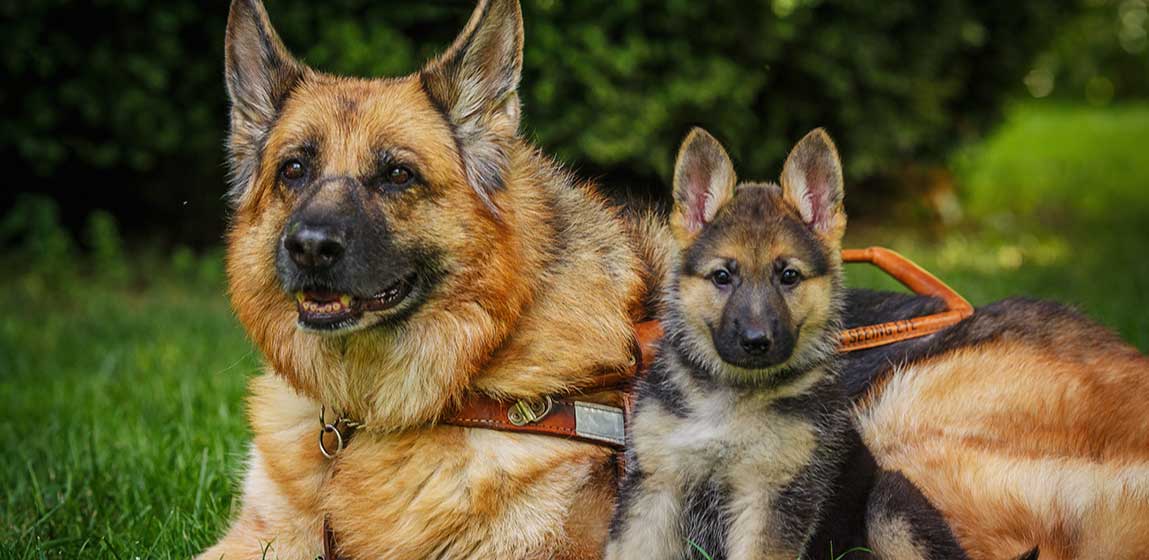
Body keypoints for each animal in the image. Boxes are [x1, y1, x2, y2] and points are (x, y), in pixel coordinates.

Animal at [606, 129, 965, 558]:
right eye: (723, 276)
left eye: (789, 276)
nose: (756, 341)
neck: (730, 397)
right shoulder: (656, 485)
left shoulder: (771, 496)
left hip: (890, 501)